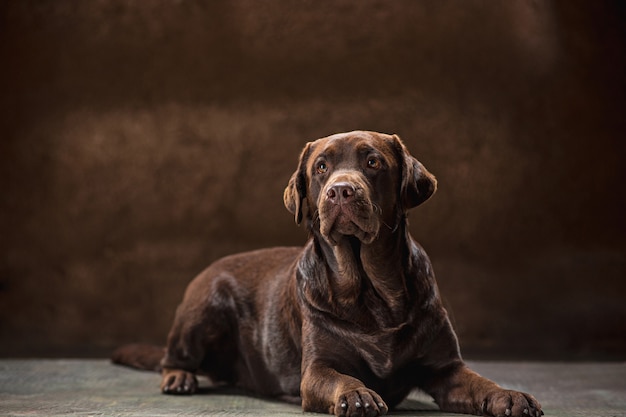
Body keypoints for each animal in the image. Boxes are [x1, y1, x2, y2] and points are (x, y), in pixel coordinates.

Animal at [113, 131, 540, 416]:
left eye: (372, 162)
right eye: (321, 168)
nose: (340, 191)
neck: (372, 293)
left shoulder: (445, 368)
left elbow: (479, 381)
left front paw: (510, 395)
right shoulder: (317, 369)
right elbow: (340, 378)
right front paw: (358, 395)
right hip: (201, 310)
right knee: (173, 357)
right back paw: (179, 378)